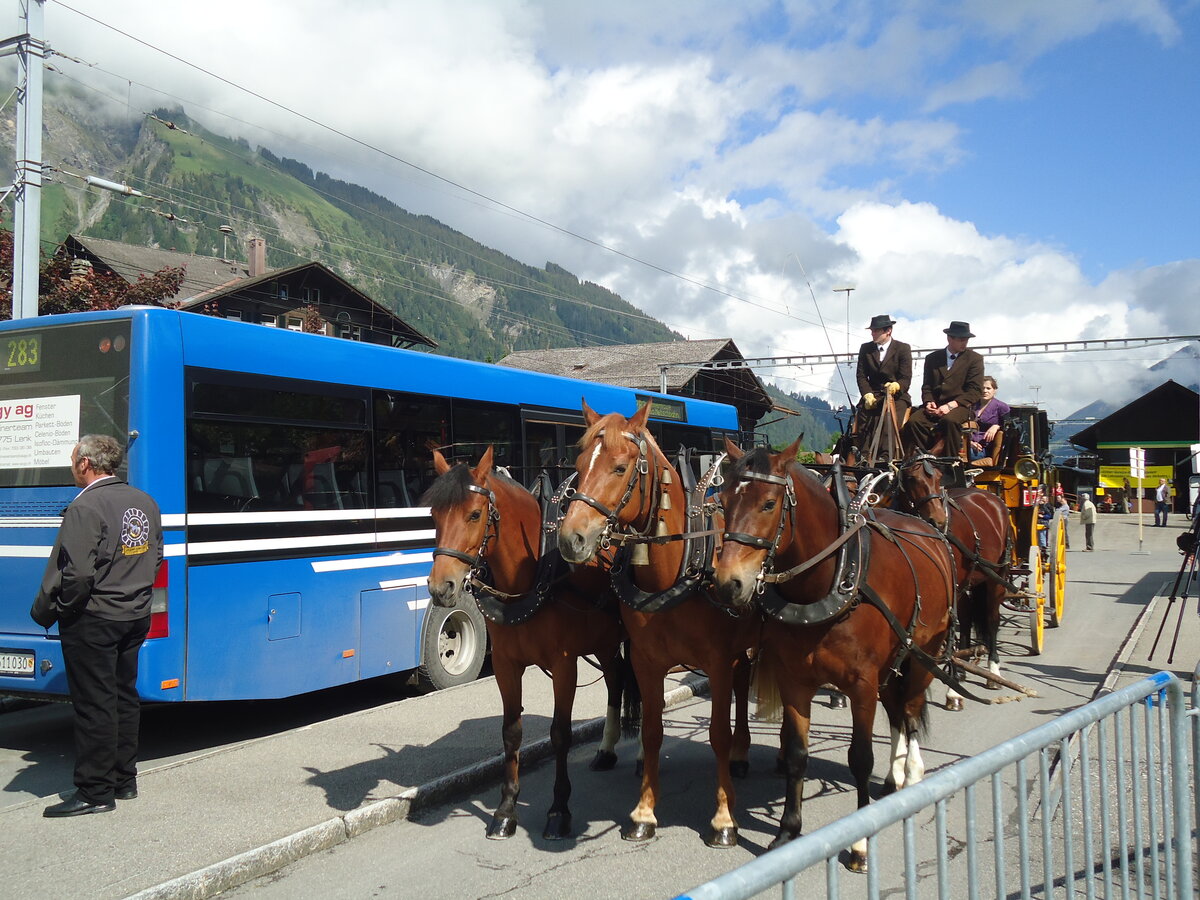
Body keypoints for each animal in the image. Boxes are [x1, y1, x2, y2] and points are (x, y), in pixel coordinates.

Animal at [424, 451, 628, 844]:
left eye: (475, 514)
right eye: (434, 516)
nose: (442, 587)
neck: (532, 575)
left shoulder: (564, 665)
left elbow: (560, 734)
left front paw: (558, 810)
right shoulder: (506, 664)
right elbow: (511, 733)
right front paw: (505, 810)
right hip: (606, 643)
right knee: (617, 683)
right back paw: (608, 751)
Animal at [554, 405, 758, 849]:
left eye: (620, 467)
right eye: (577, 465)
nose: (570, 539)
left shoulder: (717, 662)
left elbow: (717, 732)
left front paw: (724, 819)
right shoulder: (646, 659)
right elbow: (651, 728)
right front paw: (644, 812)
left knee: (743, 687)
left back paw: (742, 754)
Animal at [710, 439, 955, 873]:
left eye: (769, 504)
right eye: (722, 500)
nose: (728, 584)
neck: (827, 580)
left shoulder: (861, 685)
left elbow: (860, 758)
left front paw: (859, 844)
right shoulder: (794, 679)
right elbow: (796, 754)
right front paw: (788, 831)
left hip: (925, 651)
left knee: (910, 712)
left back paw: (912, 775)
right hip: (892, 664)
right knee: (897, 712)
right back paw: (895, 777)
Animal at [892, 453, 1012, 710]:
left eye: (939, 477)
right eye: (911, 478)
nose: (937, 520)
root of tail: (991, 498)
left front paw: (953, 690)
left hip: (996, 577)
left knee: (992, 619)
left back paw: (993, 670)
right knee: (965, 620)